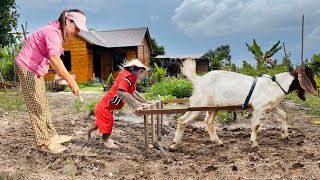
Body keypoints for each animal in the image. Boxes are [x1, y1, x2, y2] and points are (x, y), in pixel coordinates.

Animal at [170, 58, 318, 150]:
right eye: (310, 75)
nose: (316, 90)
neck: (275, 85)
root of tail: (199, 80)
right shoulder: (258, 107)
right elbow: (256, 125)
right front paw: (254, 143)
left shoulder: (271, 107)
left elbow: (284, 114)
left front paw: (285, 135)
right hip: (199, 104)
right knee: (182, 120)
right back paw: (174, 145)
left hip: (213, 107)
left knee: (208, 122)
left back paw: (218, 142)